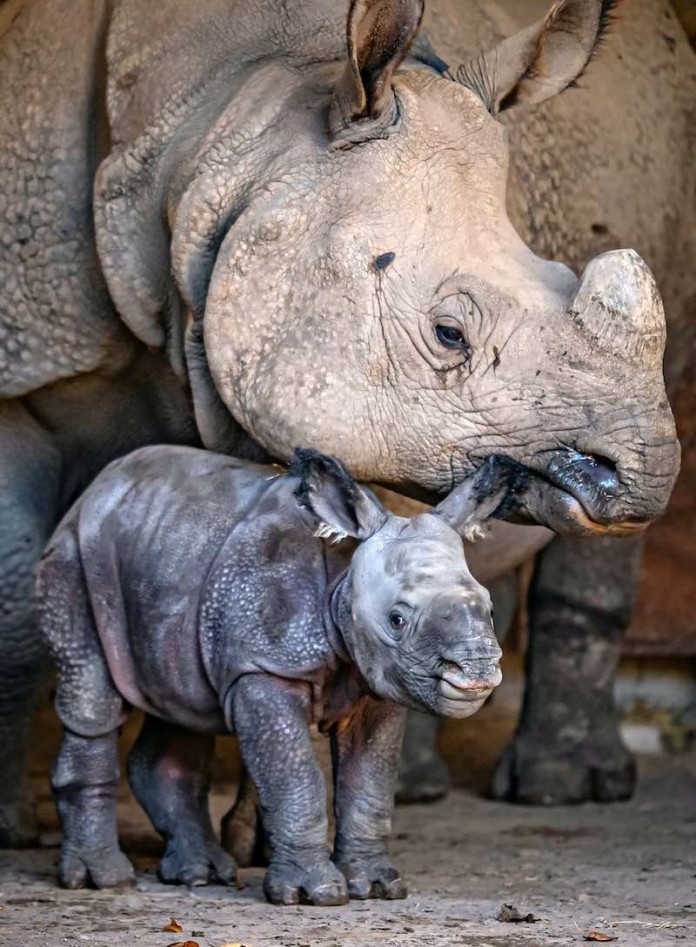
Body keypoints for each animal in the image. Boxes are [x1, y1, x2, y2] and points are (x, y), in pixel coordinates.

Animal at [0, 0, 690, 847]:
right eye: (450, 334)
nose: (649, 469)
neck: (229, 133)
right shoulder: (28, 363)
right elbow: (17, 602)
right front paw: (12, 826)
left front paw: (259, 842)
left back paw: (560, 790)